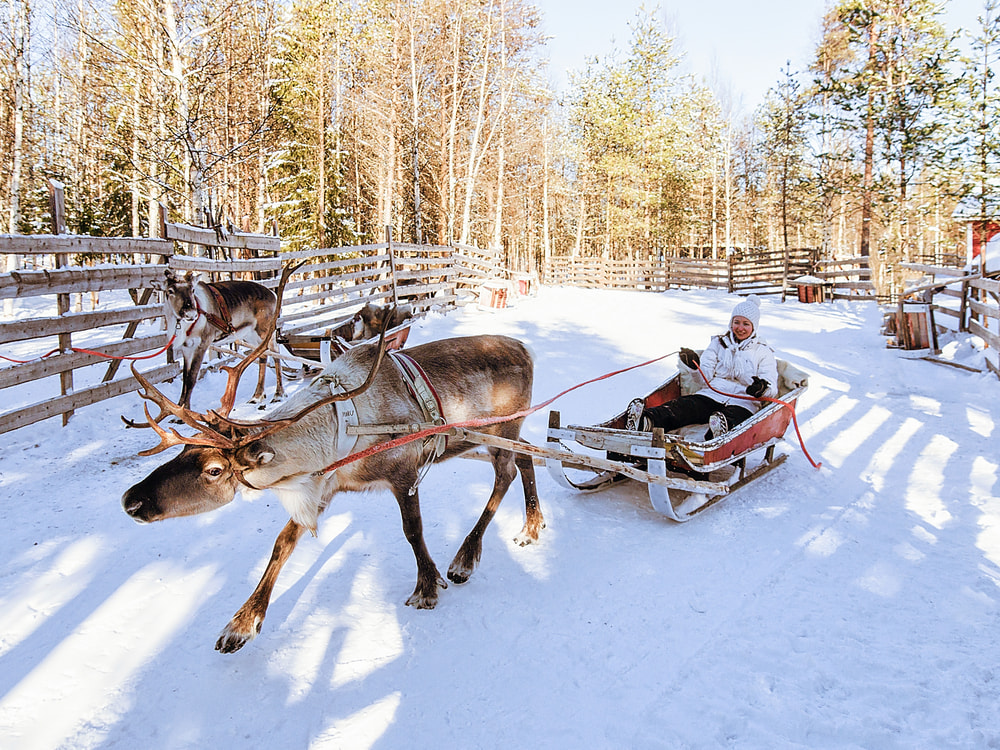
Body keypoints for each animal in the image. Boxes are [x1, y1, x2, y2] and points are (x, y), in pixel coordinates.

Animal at [120, 275, 544, 654]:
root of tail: (526, 348)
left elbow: (412, 530)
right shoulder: (321, 484)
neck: (339, 427)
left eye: (213, 470)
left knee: (506, 472)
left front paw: (427, 586)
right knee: (526, 452)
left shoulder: (403, 471)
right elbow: (282, 544)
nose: (131, 501)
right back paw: (531, 526)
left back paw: (465, 558)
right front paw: (241, 624)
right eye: (181, 454)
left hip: (499, 428)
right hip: (483, 437)